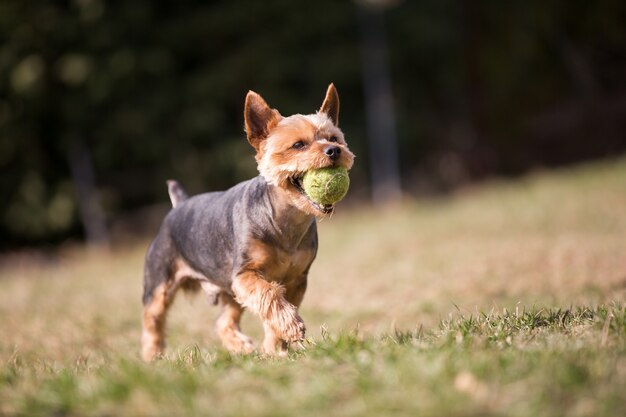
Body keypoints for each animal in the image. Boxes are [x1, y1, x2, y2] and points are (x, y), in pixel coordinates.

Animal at [143, 84, 356, 360]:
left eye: (334, 139)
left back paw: (240, 346)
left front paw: (275, 349)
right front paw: (291, 327)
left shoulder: (297, 279)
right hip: (160, 281)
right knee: (153, 320)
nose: (334, 151)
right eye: (298, 144)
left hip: (230, 291)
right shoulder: (245, 274)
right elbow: (270, 295)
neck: (284, 218)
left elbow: (273, 310)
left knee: (223, 322)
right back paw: (152, 357)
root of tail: (179, 205)